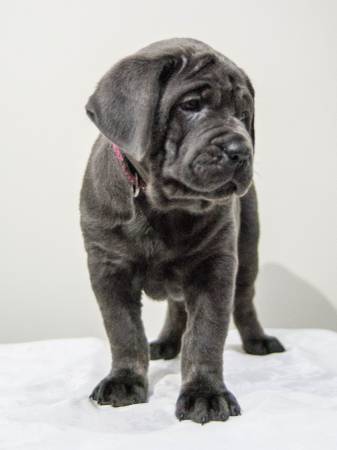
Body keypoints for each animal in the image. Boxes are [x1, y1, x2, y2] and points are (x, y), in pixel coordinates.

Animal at [80, 37, 284, 424]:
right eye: (191, 106)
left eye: (243, 114)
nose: (240, 150)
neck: (165, 207)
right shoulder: (108, 266)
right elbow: (123, 330)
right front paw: (125, 380)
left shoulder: (215, 266)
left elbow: (205, 335)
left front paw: (205, 393)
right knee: (177, 307)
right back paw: (165, 343)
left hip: (247, 249)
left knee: (243, 300)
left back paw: (258, 341)